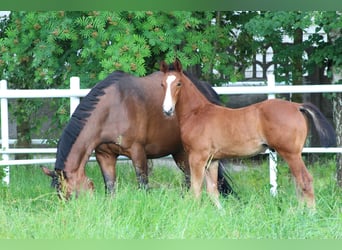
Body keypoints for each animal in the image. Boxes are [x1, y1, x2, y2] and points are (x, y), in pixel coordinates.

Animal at [41, 70, 235, 199]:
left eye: (73, 195)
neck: (113, 109)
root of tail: (206, 89)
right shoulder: (105, 155)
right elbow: (110, 188)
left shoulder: (138, 153)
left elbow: (143, 186)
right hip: (180, 152)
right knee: (190, 177)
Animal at [160, 59, 336, 210]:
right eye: (162, 84)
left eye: (179, 83)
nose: (167, 110)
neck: (197, 113)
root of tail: (297, 106)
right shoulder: (212, 160)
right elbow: (213, 191)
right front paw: (222, 215)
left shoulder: (197, 157)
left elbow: (195, 190)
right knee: (298, 182)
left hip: (291, 153)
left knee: (305, 181)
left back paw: (310, 214)